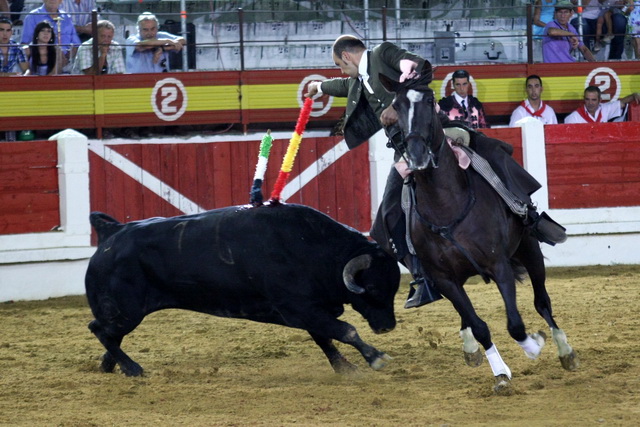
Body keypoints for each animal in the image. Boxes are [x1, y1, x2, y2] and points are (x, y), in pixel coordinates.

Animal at [86, 203, 400, 374]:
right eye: (372, 287)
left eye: (394, 287)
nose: (387, 327)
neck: (314, 248)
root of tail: (113, 232)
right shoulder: (299, 309)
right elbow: (345, 330)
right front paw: (375, 358)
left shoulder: (308, 311)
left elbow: (325, 337)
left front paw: (345, 368)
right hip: (124, 311)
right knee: (99, 329)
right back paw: (133, 369)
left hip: (124, 314)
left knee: (111, 336)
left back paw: (110, 367)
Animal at [380, 75, 580, 396]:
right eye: (396, 106)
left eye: (429, 100)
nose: (418, 156)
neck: (446, 206)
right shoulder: (444, 279)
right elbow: (479, 325)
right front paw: (500, 373)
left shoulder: (499, 266)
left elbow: (515, 324)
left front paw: (534, 345)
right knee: (468, 316)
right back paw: (471, 348)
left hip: (529, 249)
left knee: (542, 301)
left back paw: (565, 351)